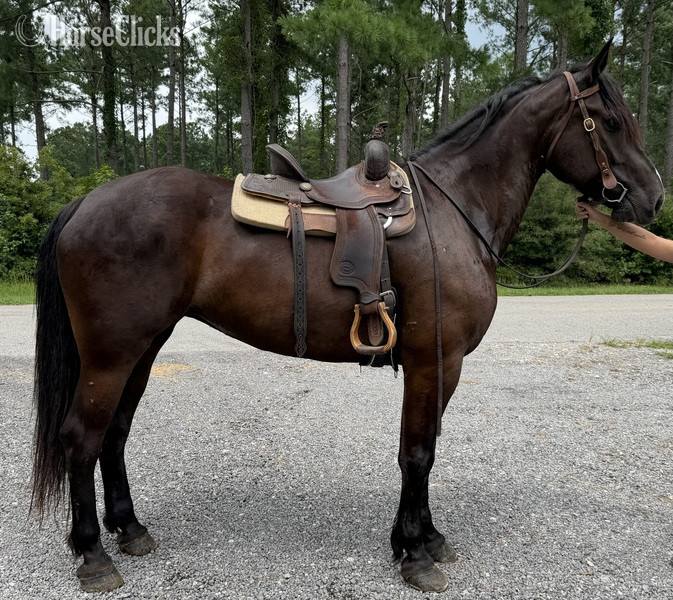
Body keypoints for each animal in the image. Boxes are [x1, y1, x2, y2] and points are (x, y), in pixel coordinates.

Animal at [31, 41, 664, 593]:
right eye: (611, 121)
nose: (653, 198)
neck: (454, 210)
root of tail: (84, 202)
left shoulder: (436, 366)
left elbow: (424, 447)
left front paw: (425, 538)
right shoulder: (435, 360)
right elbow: (417, 452)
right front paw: (414, 553)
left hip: (143, 347)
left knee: (114, 434)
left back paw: (129, 529)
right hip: (111, 354)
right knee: (81, 438)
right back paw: (93, 555)